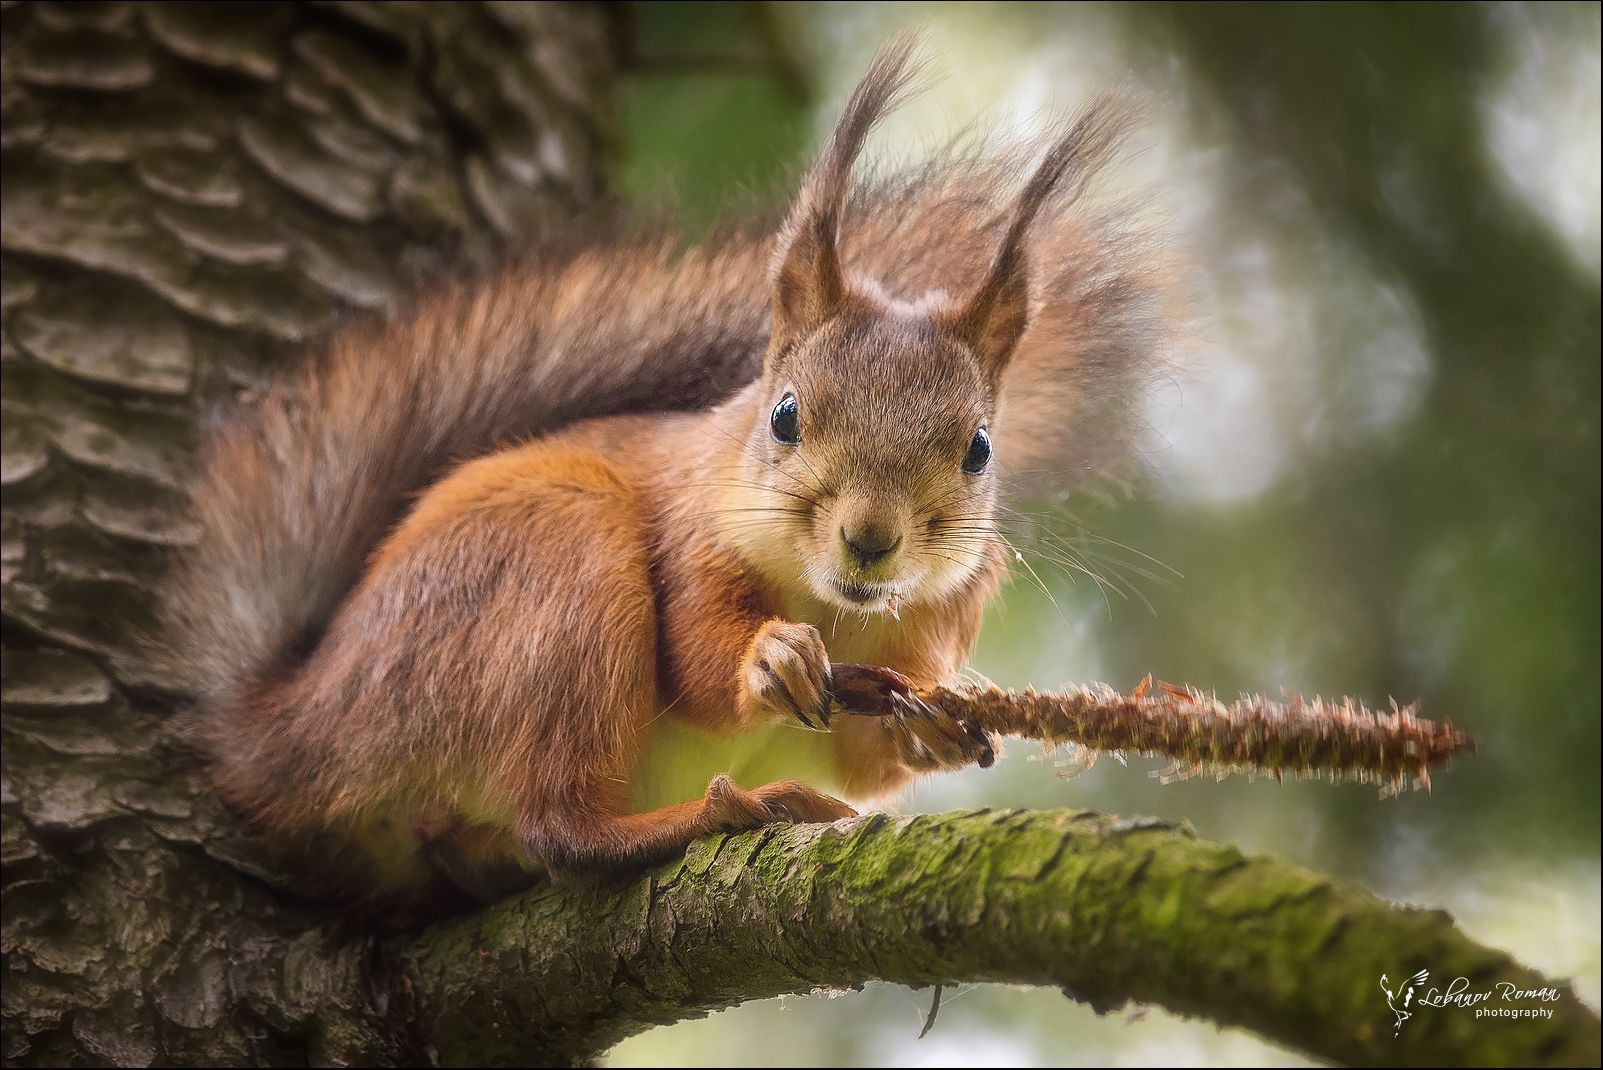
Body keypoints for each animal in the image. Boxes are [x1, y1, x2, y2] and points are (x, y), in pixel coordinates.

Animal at [162, 43, 1166, 911]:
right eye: (784, 415)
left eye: (979, 449)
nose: (870, 540)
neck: (836, 605)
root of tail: (298, 728)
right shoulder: (690, 533)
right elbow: (693, 657)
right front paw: (771, 658)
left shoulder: (935, 623)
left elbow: (865, 759)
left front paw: (935, 726)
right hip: (555, 565)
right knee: (560, 826)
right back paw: (716, 814)